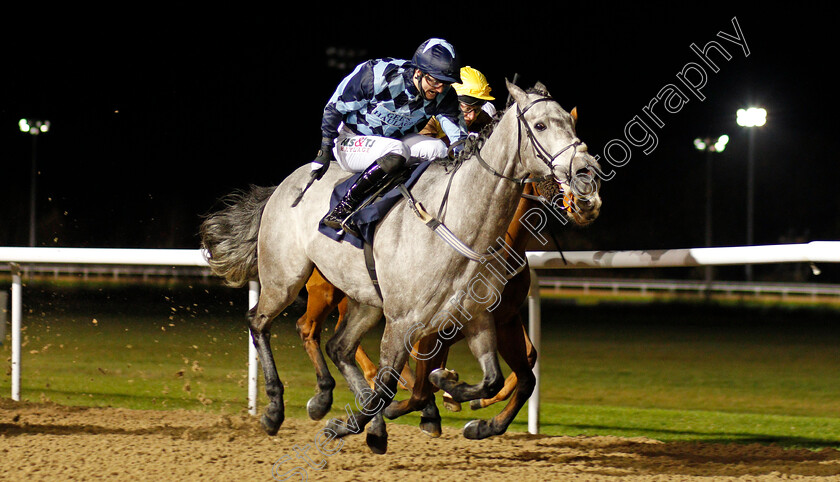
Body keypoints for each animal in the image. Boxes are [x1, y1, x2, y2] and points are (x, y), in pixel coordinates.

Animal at [199, 81, 600, 454]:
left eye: (570, 123)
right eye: (541, 125)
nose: (587, 178)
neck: (457, 223)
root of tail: (284, 185)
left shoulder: (478, 318)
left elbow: (493, 379)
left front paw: (458, 399)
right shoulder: (406, 322)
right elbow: (392, 383)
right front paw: (355, 423)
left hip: (366, 301)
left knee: (339, 346)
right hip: (286, 278)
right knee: (262, 322)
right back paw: (276, 409)